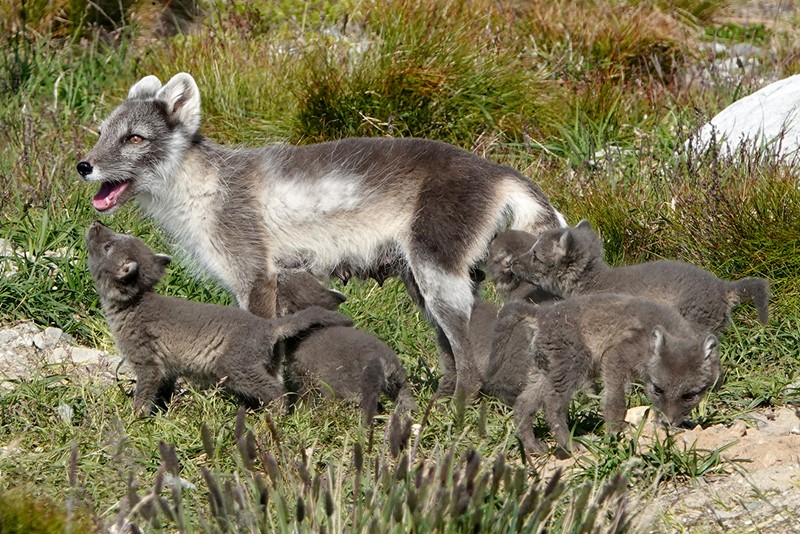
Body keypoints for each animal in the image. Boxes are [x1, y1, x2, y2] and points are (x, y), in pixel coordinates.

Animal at [73, 73, 564, 396]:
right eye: (102, 133)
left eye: (135, 138)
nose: (83, 165)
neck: (204, 187)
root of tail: (497, 170)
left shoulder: (256, 274)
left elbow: (264, 337)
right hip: (421, 283)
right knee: (448, 350)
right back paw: (440, 398)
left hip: (437, 275)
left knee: (467, 357)